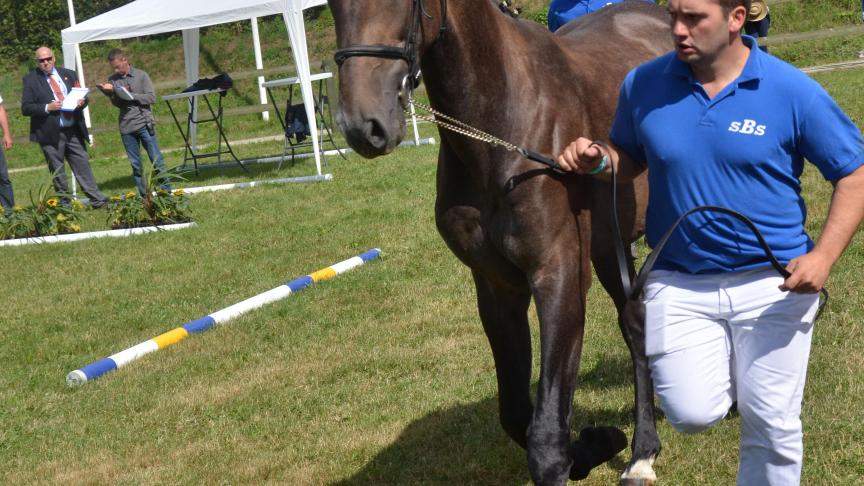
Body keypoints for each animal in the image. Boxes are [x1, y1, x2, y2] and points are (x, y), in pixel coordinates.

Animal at [328, 1, 672, 484]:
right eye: (330, 6)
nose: (363, 125)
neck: (502, 128)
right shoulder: (498, 288)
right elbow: (516, 414)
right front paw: (594, 445)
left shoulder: (558, 276)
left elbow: (545, 441)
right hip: (611, 247)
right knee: (636, 325)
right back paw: (643, 450)